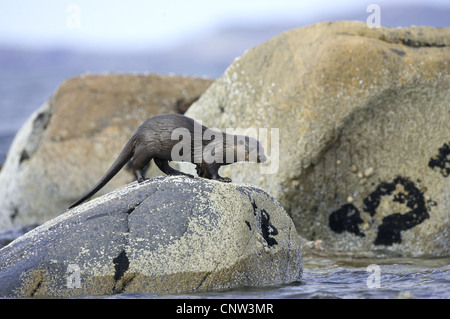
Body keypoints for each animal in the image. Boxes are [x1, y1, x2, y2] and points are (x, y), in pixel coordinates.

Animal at [69, 114, 268, 209]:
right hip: (147, 147)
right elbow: (211, 170)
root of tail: (138, 130)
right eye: (252, 150)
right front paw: (224, 179)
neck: (223, 146)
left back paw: (181, 173)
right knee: (137, 163)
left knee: (162, 164)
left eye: (263, 149)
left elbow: (201, 169)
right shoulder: (211, 154)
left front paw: (198, 174)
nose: (263, 157)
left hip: (161, 151)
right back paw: (142, 178)